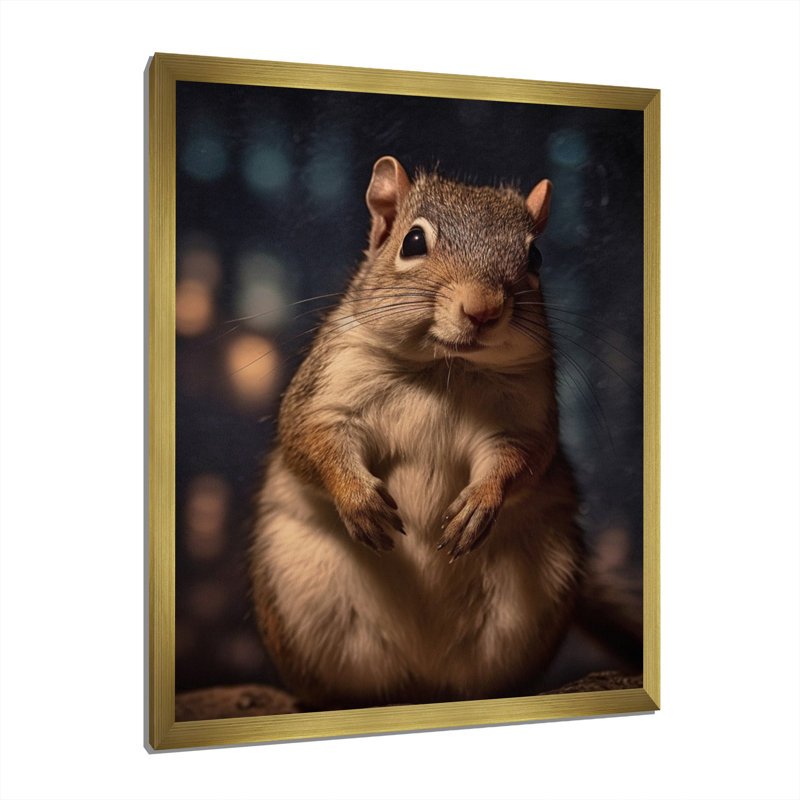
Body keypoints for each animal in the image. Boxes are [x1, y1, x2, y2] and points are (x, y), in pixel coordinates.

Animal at [249, 156, 640, 710]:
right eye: (412, 242)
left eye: (535, 256)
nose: (483, 310)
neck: (443, 369)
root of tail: (422, 678)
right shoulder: (327, 389)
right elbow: (311, 440)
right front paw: (358, 500)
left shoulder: (523, 416)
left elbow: (523, 459)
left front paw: (480, 502)